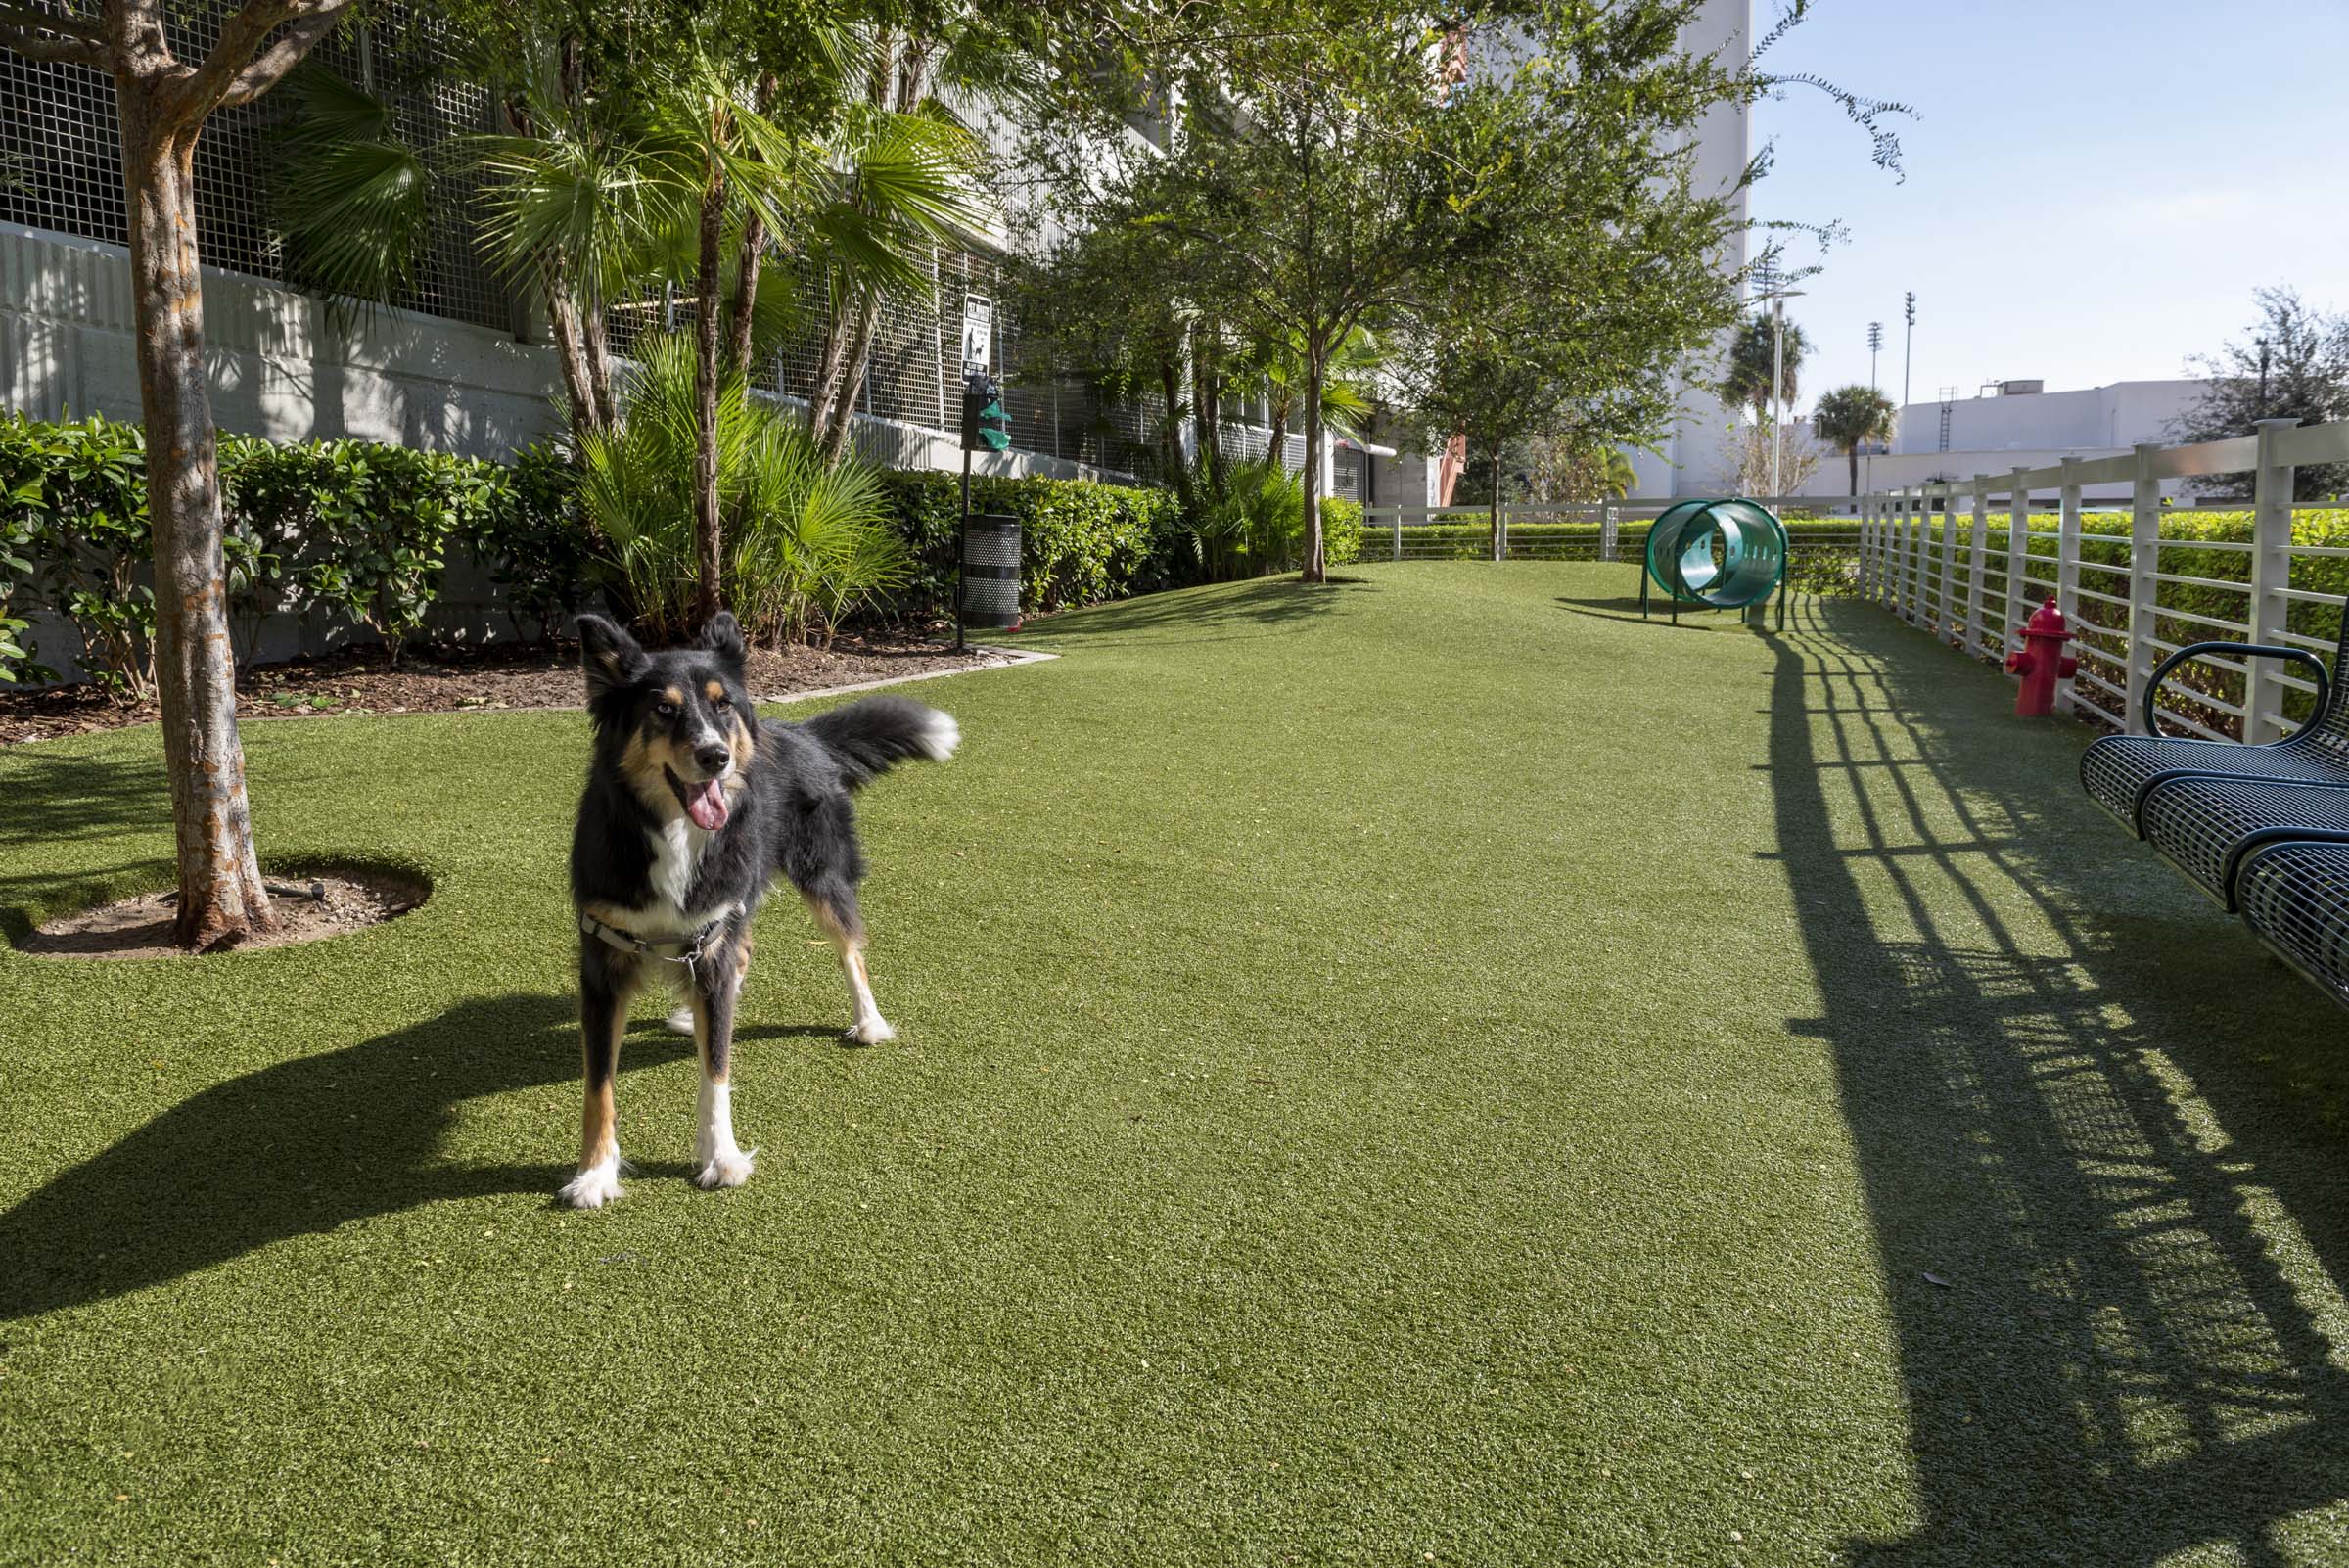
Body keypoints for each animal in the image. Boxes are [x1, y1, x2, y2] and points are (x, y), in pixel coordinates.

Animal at [559, 610, 953, 1211]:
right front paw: (595, 1173)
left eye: (722, 705)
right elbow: (598, 1083)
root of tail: (804, 734)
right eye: (663, 709)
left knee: (850, 949)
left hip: (820, 878)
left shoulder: (711, 936)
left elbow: (716, 1068)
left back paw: (869, 1021)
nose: (715, 756)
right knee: (742, 951)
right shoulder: (604, 959)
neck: (674, 832)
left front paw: (721, 1157)